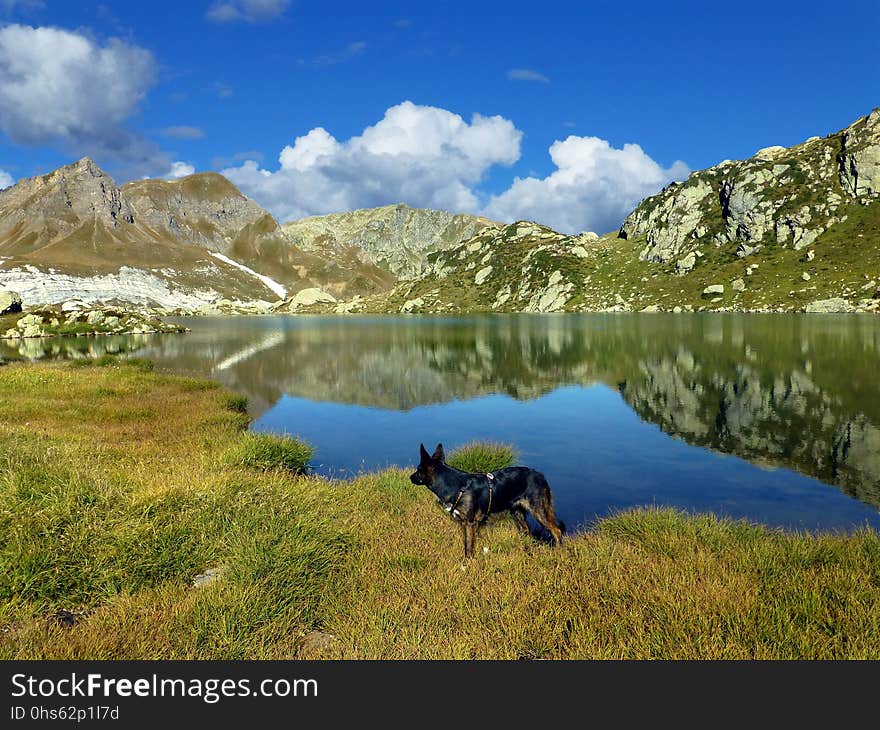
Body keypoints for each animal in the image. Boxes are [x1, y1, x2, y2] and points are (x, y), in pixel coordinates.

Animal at [410, 440, 568, 556]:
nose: (410, 477)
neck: (454, 485)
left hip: (539, 511)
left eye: (418, 470)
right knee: (526, 530)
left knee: (557, 531)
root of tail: (540, 475)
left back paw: (559, 552)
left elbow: (469, 546)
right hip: (516, 511)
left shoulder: (470, 523)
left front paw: (468, 564)